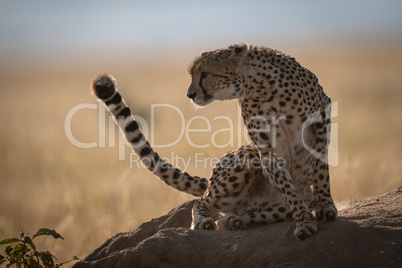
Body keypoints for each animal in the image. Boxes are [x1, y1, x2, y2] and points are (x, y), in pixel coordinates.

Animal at [90, 43, 336, 240]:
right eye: (192, 74)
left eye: (205, 74)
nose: (190, 94)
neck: (262, 87)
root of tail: (210, 179)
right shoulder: (266, 148)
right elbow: (288, 187)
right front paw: (304, 221)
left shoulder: (322, 116)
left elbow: (320, 168)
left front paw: (325, 206)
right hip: (246, 158)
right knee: (203, 200)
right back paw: (207, 221)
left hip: (288, 190)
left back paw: (237, 220)